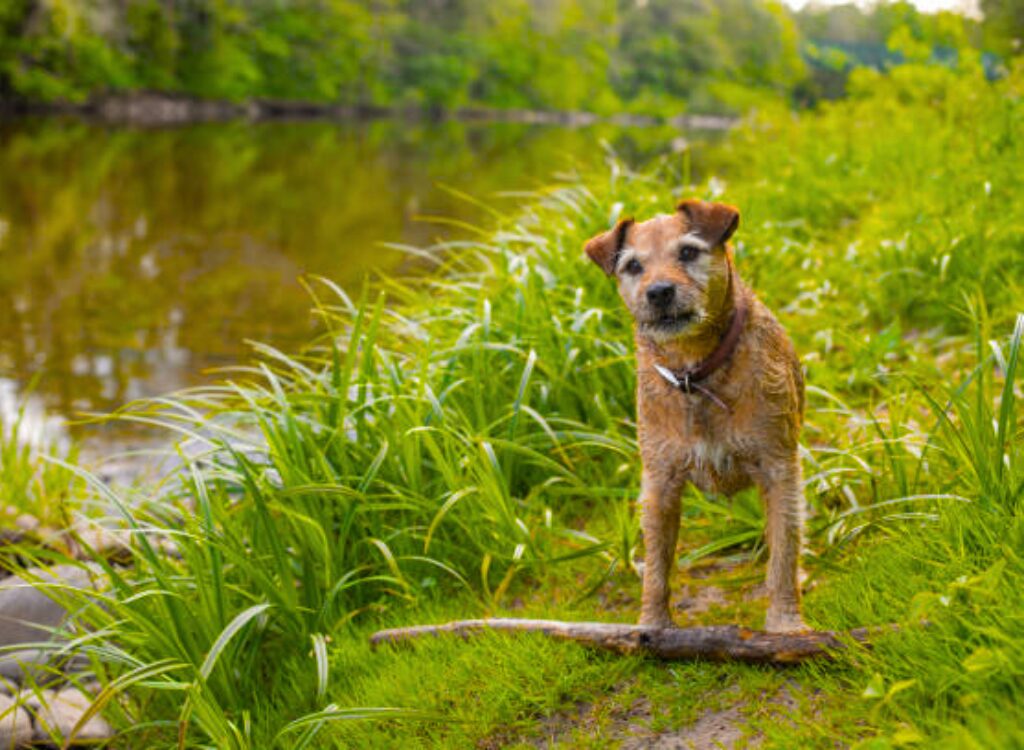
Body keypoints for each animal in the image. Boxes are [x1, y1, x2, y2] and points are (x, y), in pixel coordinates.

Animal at [585, 197, 806, 631]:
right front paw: (652, 627)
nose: (659, 292)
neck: (695, 372)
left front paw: (784, 624)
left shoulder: (778, 468)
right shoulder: (659, 484)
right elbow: (656, 567)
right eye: (633, 265)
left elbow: (783, 554)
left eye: (687, 252)